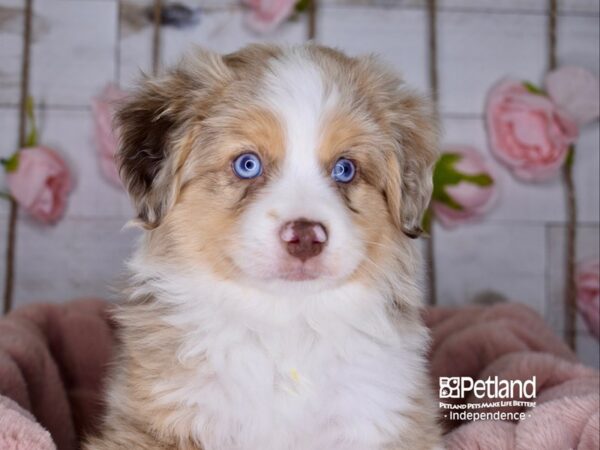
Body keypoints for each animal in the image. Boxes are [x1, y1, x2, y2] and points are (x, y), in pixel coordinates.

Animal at [84, 43, 440, 450]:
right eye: (248, 164)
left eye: (345, 169)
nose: (306, 236)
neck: (285, 321)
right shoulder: (154, 420)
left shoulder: (383, 416)